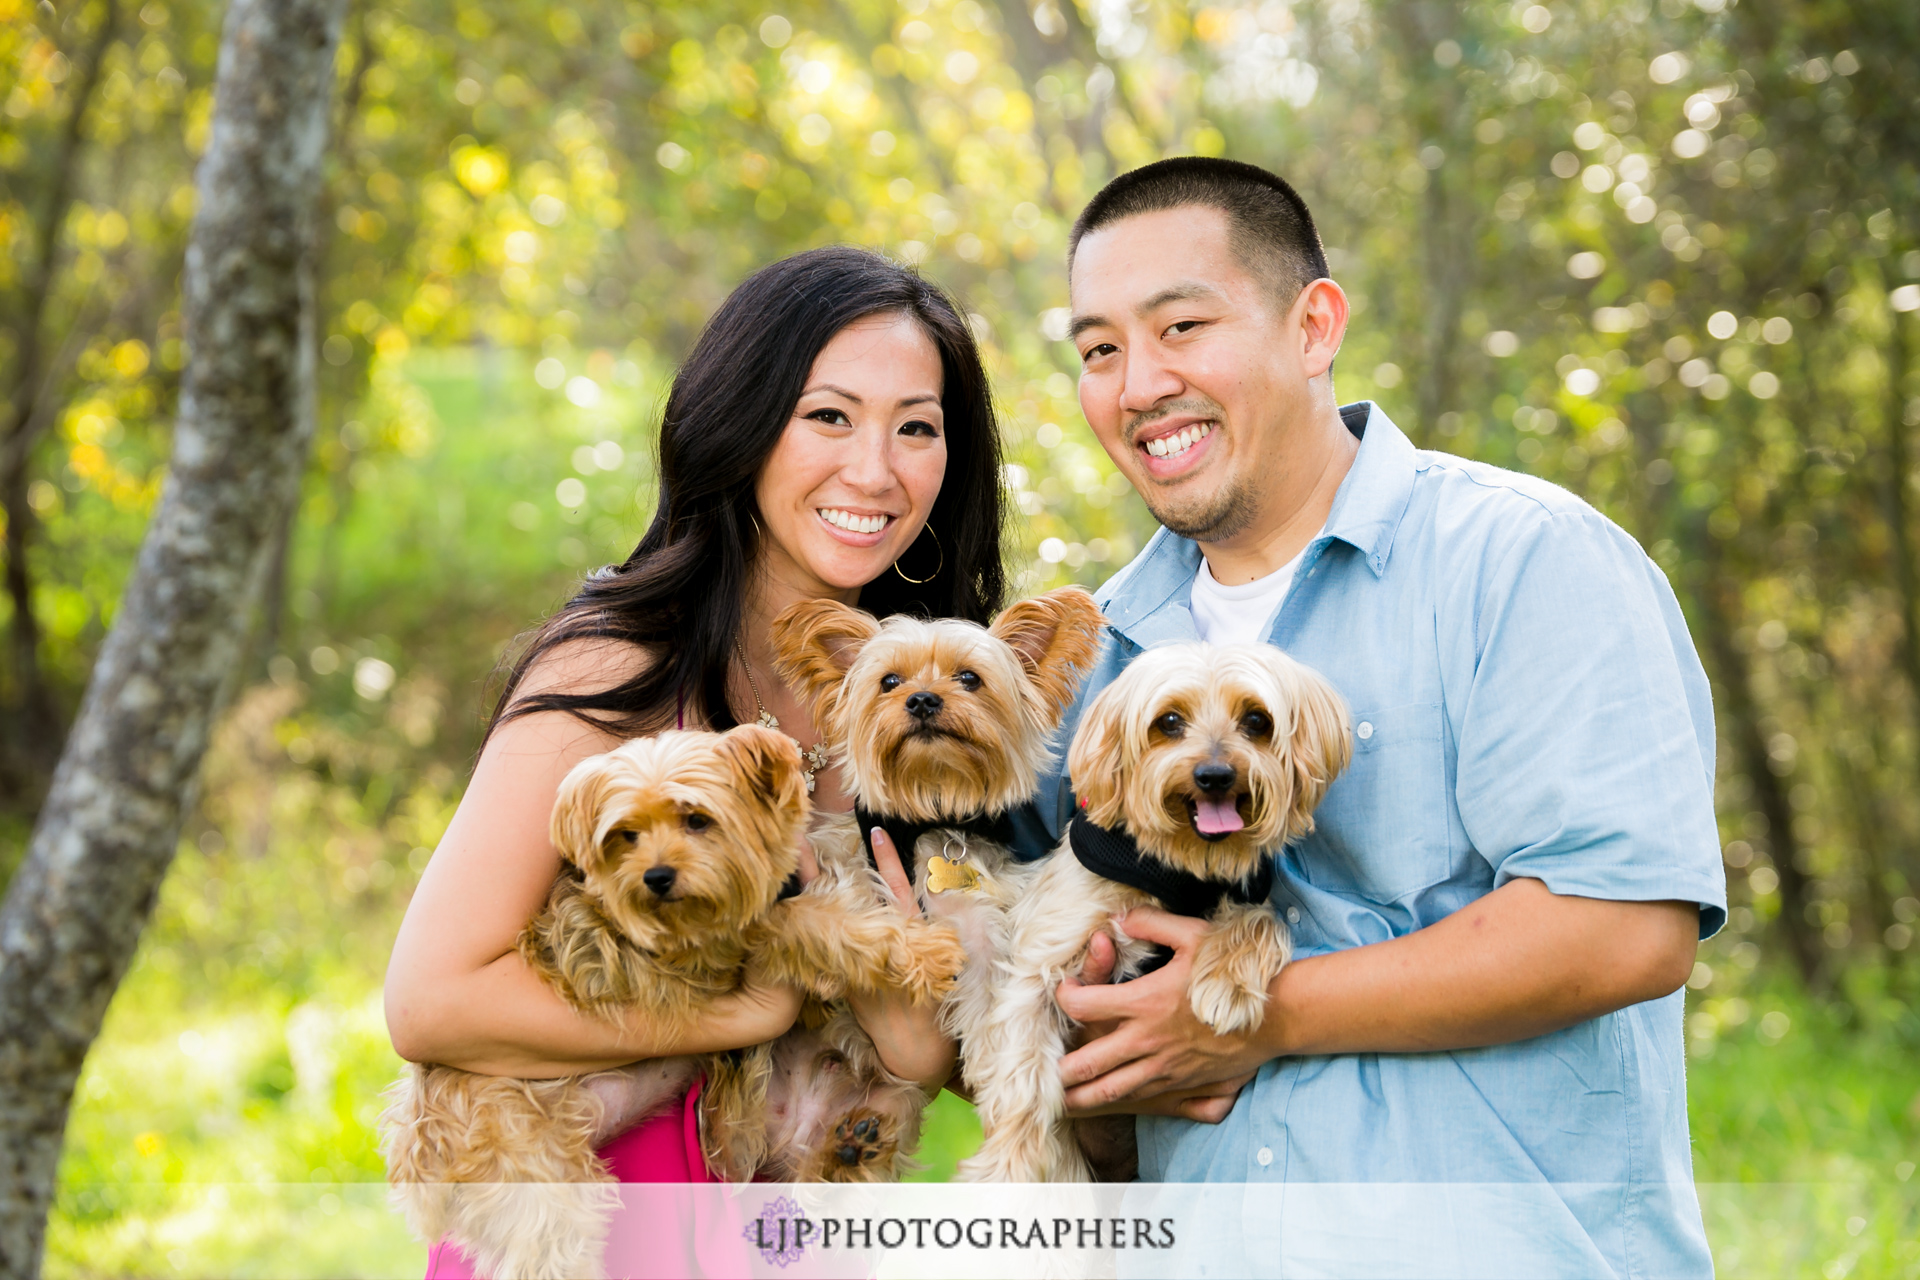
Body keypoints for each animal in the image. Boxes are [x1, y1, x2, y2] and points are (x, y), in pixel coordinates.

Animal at [384, 725, 967, 1274]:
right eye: (627, 835)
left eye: (697, 820)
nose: (657, 877)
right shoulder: (727, 945)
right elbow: (827, 926)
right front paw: (926, 952)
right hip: (533, 1170)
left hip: (884, 1106)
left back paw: (850, 1149)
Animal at [756, 587, 1105, 1174]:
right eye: (889, 681)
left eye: (969, 678)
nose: (921, 700)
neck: (930, 815)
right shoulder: (830, 876)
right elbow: (842, 921)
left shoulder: (986, 944)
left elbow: (999, 1042)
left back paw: (850, 1145)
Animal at [956, 644, 1351, 1189]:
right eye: (1169, 721)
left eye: (1257, 720)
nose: (1215, 775)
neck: (1180, 867)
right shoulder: (1040, 960)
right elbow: (1022, 1072)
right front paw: (1007, 1171)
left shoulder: (1246, 895)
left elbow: (1261, 920)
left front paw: (1227, 983)